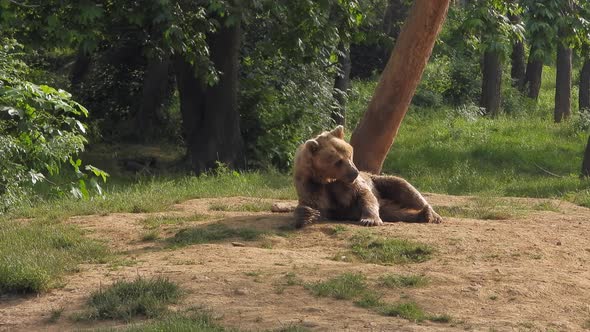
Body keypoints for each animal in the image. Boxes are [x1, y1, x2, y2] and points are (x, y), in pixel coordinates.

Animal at [294, 125, 442, 228]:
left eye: (349, 154)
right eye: (338, 161)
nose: (355, 172)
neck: (328, 179)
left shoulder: (349, 184)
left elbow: (363, 194)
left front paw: (370, 220)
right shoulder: (311, 184)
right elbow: (318, 207)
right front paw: (307, 214)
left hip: (380, 183)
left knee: (404, 188)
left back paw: (431, 214)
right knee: (394, 211)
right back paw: (422, 215)